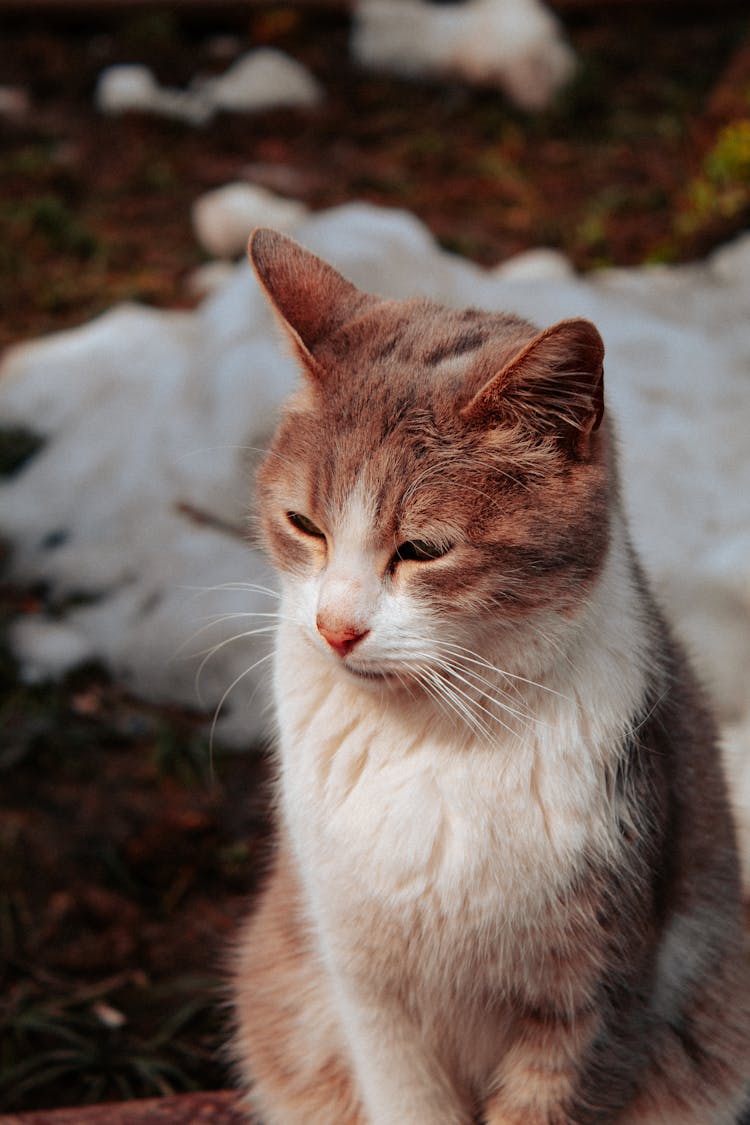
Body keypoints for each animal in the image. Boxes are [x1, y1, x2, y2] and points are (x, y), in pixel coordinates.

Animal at [230, 230, 750, 1125]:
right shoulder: (370, 1000)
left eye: (423, 549)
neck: (434, 745)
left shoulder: (596, 991)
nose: (335, 627)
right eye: (303, 524)